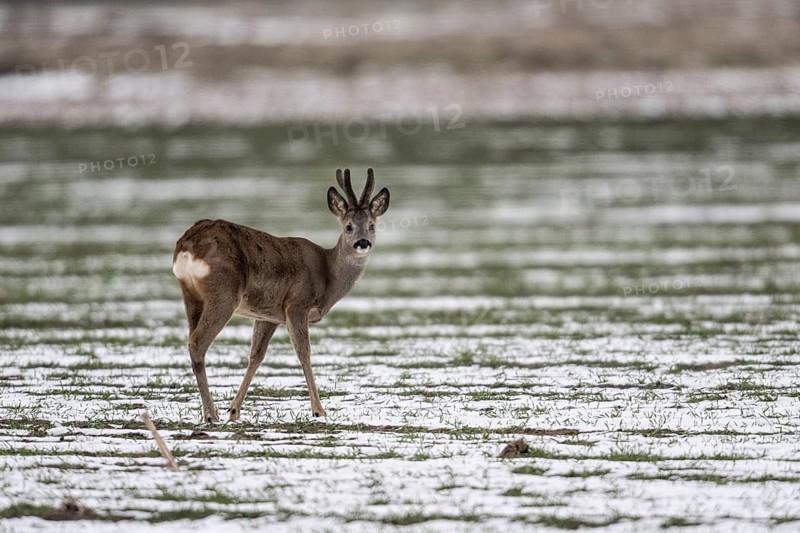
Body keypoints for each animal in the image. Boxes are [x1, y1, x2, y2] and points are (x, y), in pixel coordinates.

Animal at [172, 168, 390, 423]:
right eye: (348, 227)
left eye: (372, 226)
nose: (362, 243)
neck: (328, 275)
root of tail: (187, 245)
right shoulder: (297, 304)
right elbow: (304, 353)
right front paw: (319, 410)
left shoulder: (268, 315)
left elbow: (256, 356)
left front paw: (234, 410)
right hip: (224, 293)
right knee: (197, 342)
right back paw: (210, 414)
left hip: (191, 294)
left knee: (193, 340)